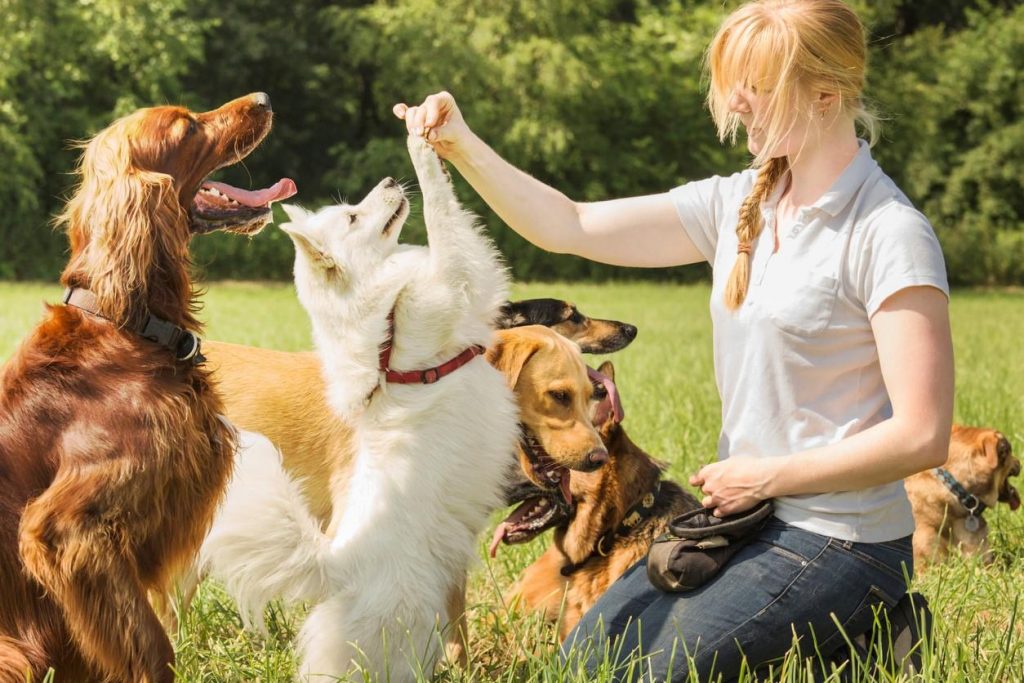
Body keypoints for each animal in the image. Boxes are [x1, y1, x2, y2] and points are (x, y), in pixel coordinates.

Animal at [0, 93, 296, 679]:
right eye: (188, 128)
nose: (265, 100)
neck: (126, 324)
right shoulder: (66, 531)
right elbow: (153, 646)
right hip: (12, 652)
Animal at [200, 136, 520, 679]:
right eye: (352, 217)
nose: (389, 180)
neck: (387, 318)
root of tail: (336, 566)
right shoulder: (459, 278)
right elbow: (443, 213)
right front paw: (421, 146)